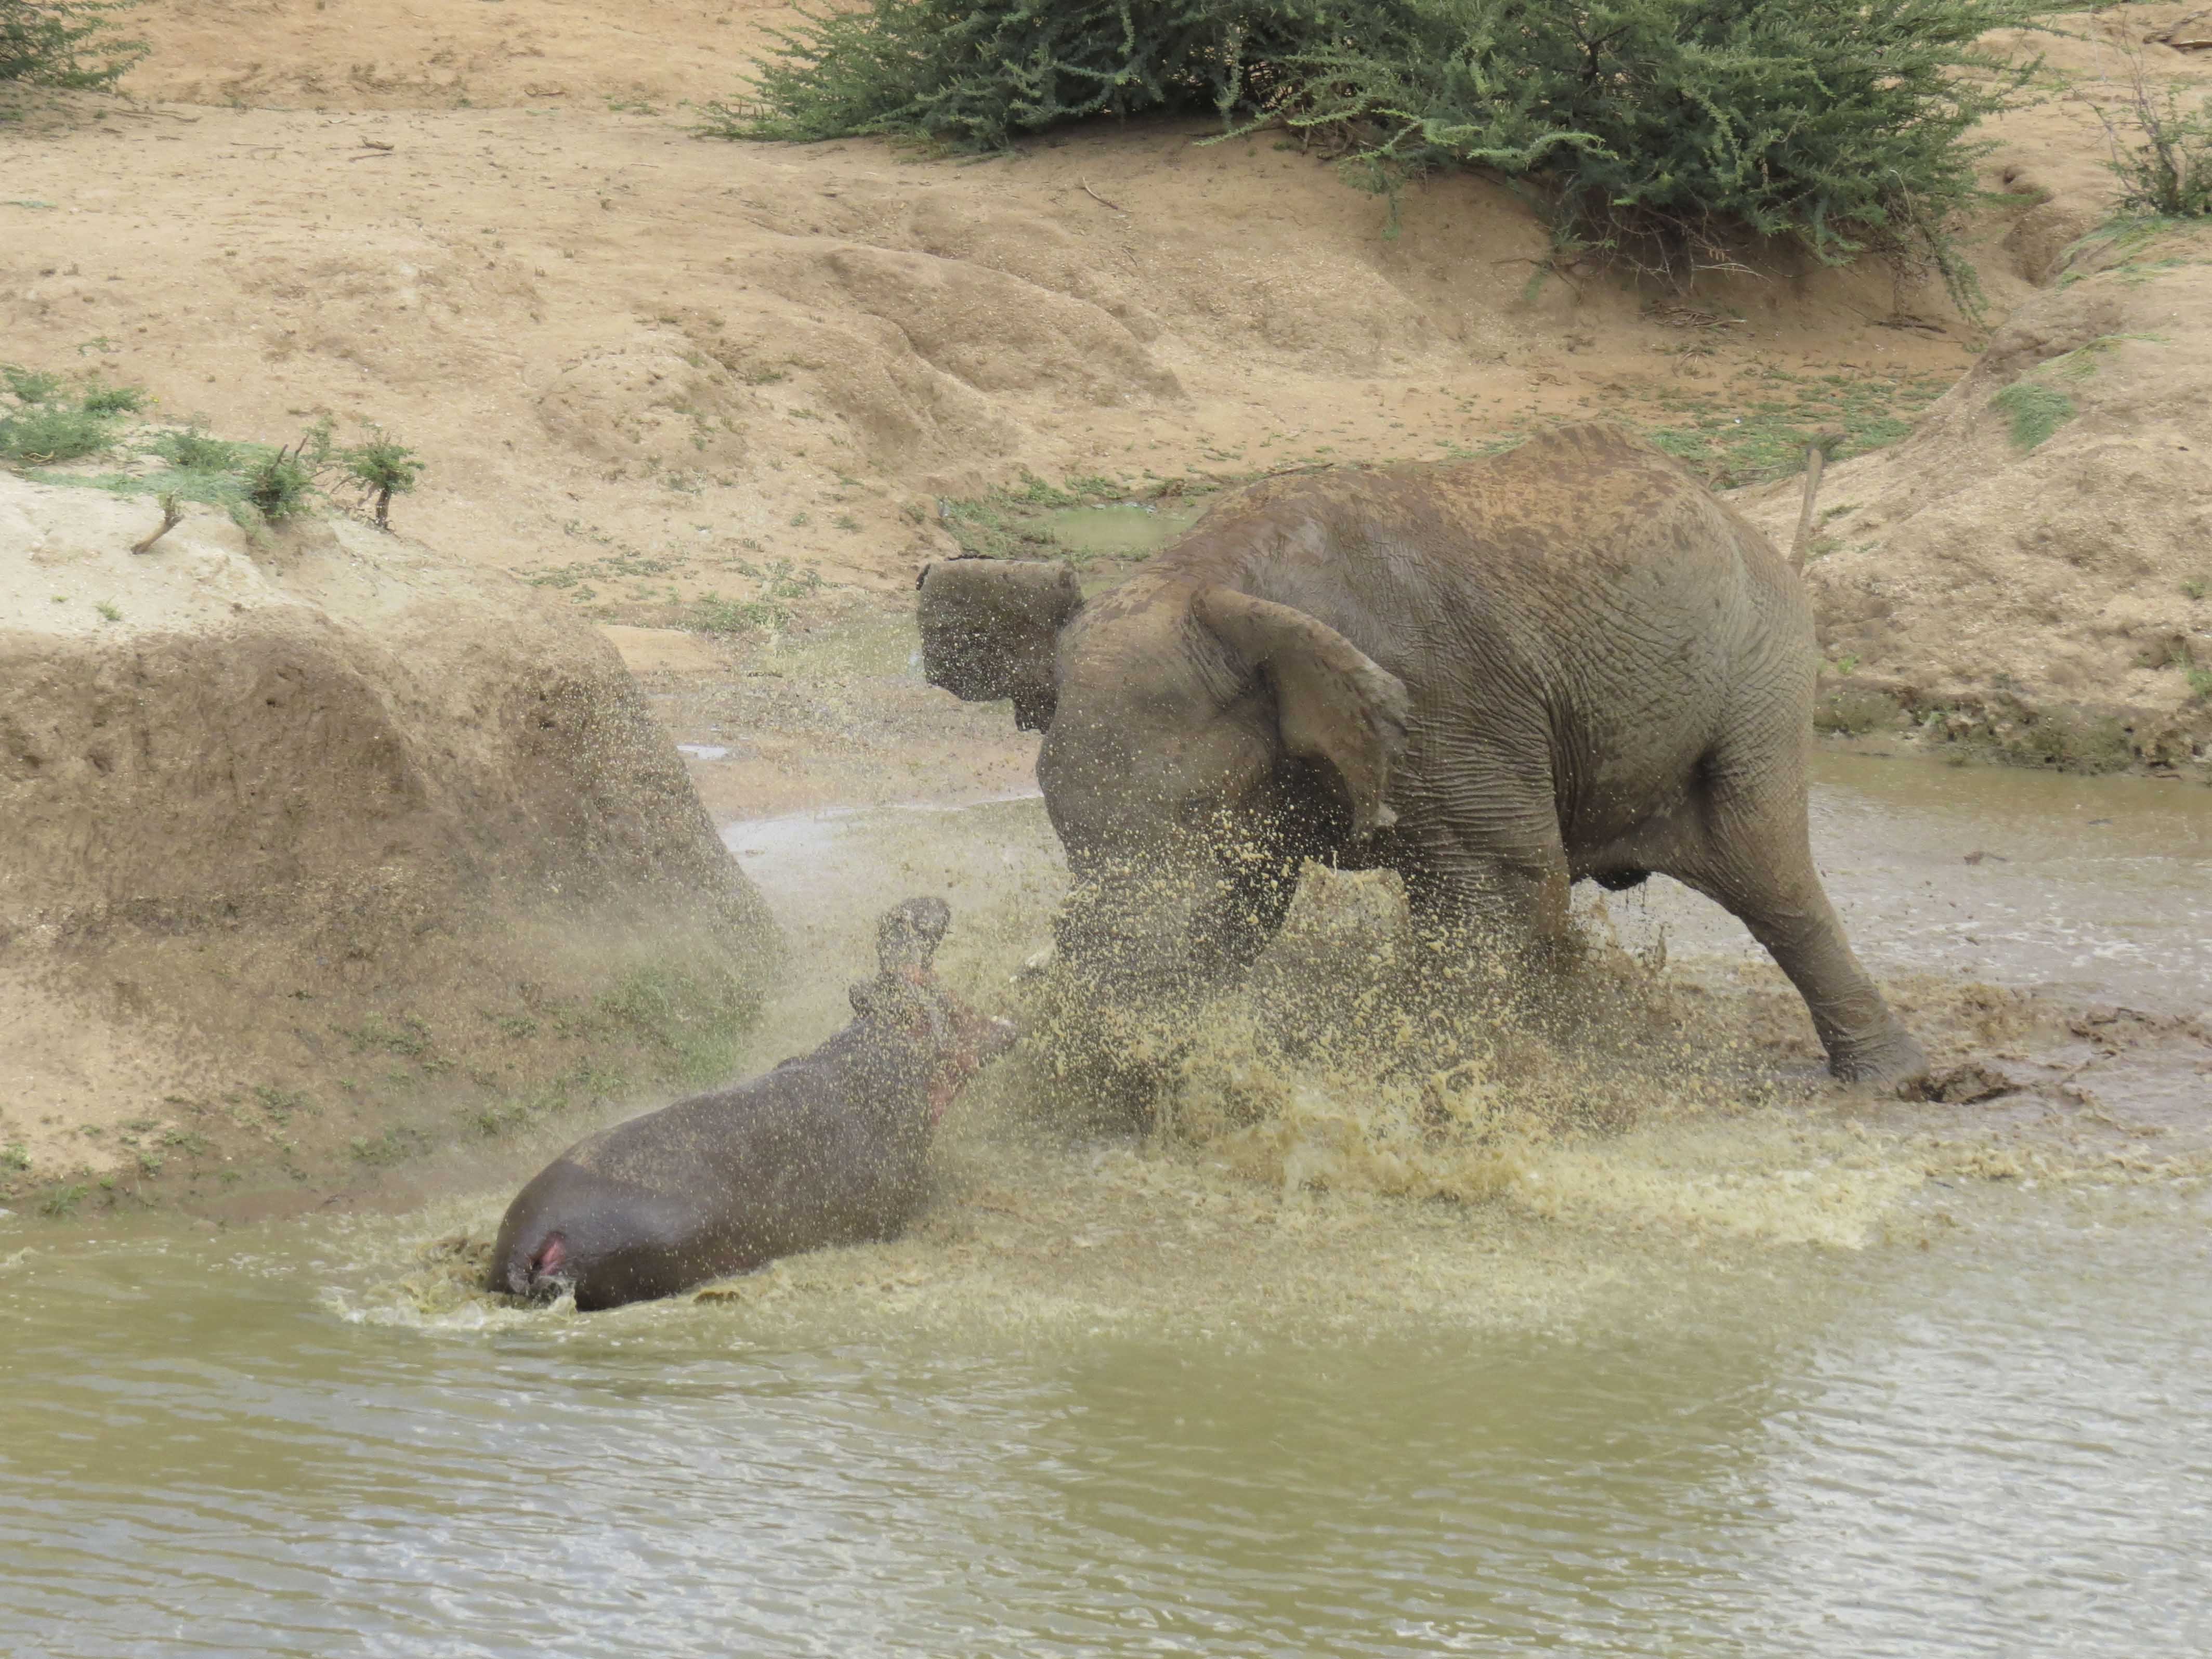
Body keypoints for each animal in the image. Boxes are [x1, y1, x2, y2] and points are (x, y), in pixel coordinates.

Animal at [916, 424, 1927, 1086]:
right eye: (1055, 816)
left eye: (1204, 805)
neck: (1217, 576)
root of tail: (1747, 524)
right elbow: (1247, 904)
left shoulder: (1450, 702)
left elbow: (1503, 887)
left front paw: (1433, 1082)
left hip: (1759, 677)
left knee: (1768, 873)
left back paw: (1893, 1083)